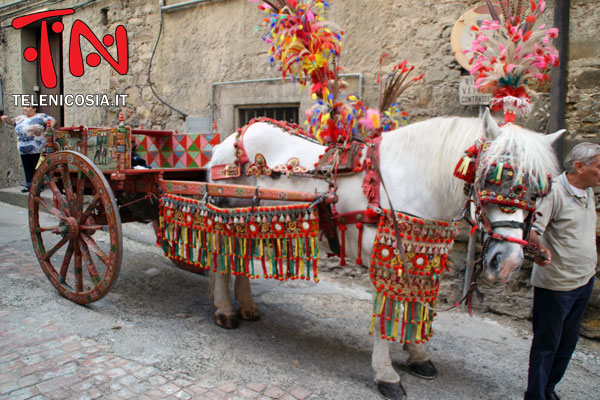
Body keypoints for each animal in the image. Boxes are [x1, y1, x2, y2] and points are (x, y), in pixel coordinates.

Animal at [207, 110, 564, 400]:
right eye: (493, 175)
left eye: (539, 189)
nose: (508, 262)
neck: (416, 178)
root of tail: (236, 135)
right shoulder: (387, 257)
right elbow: (384, 316)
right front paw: (386, 375)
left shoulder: (422, 256)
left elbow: (415, 306)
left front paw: (418, 355)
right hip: (228, 213)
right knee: (223, 261)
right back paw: (224, 310)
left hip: (255, 217)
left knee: (241, 258)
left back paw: (247, 306)